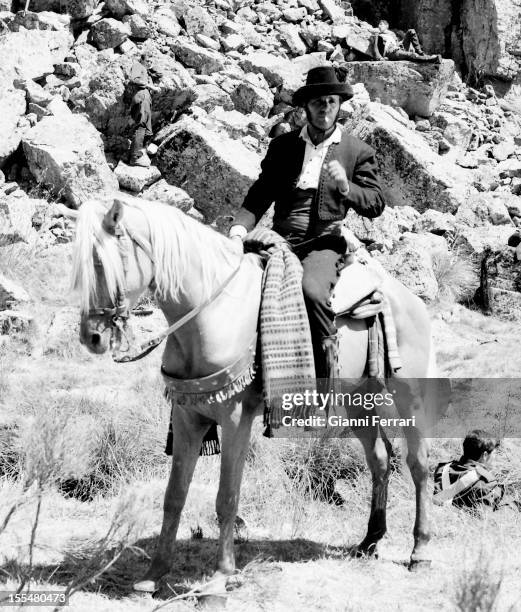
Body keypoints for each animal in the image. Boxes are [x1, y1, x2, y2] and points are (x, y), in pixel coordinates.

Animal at [72, 198, 438, 596]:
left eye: (101, 262)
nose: (91, 337)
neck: (212, 313)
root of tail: (406, 297)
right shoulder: (188, 417)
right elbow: (174, 496)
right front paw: (155, 574)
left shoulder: (235, 418)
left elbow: (226, 498)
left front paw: (222, 575)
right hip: (359, 401)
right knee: (380, 460)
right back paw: (370, 540)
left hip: (409, 394)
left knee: (418, 464)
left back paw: (420, 551)